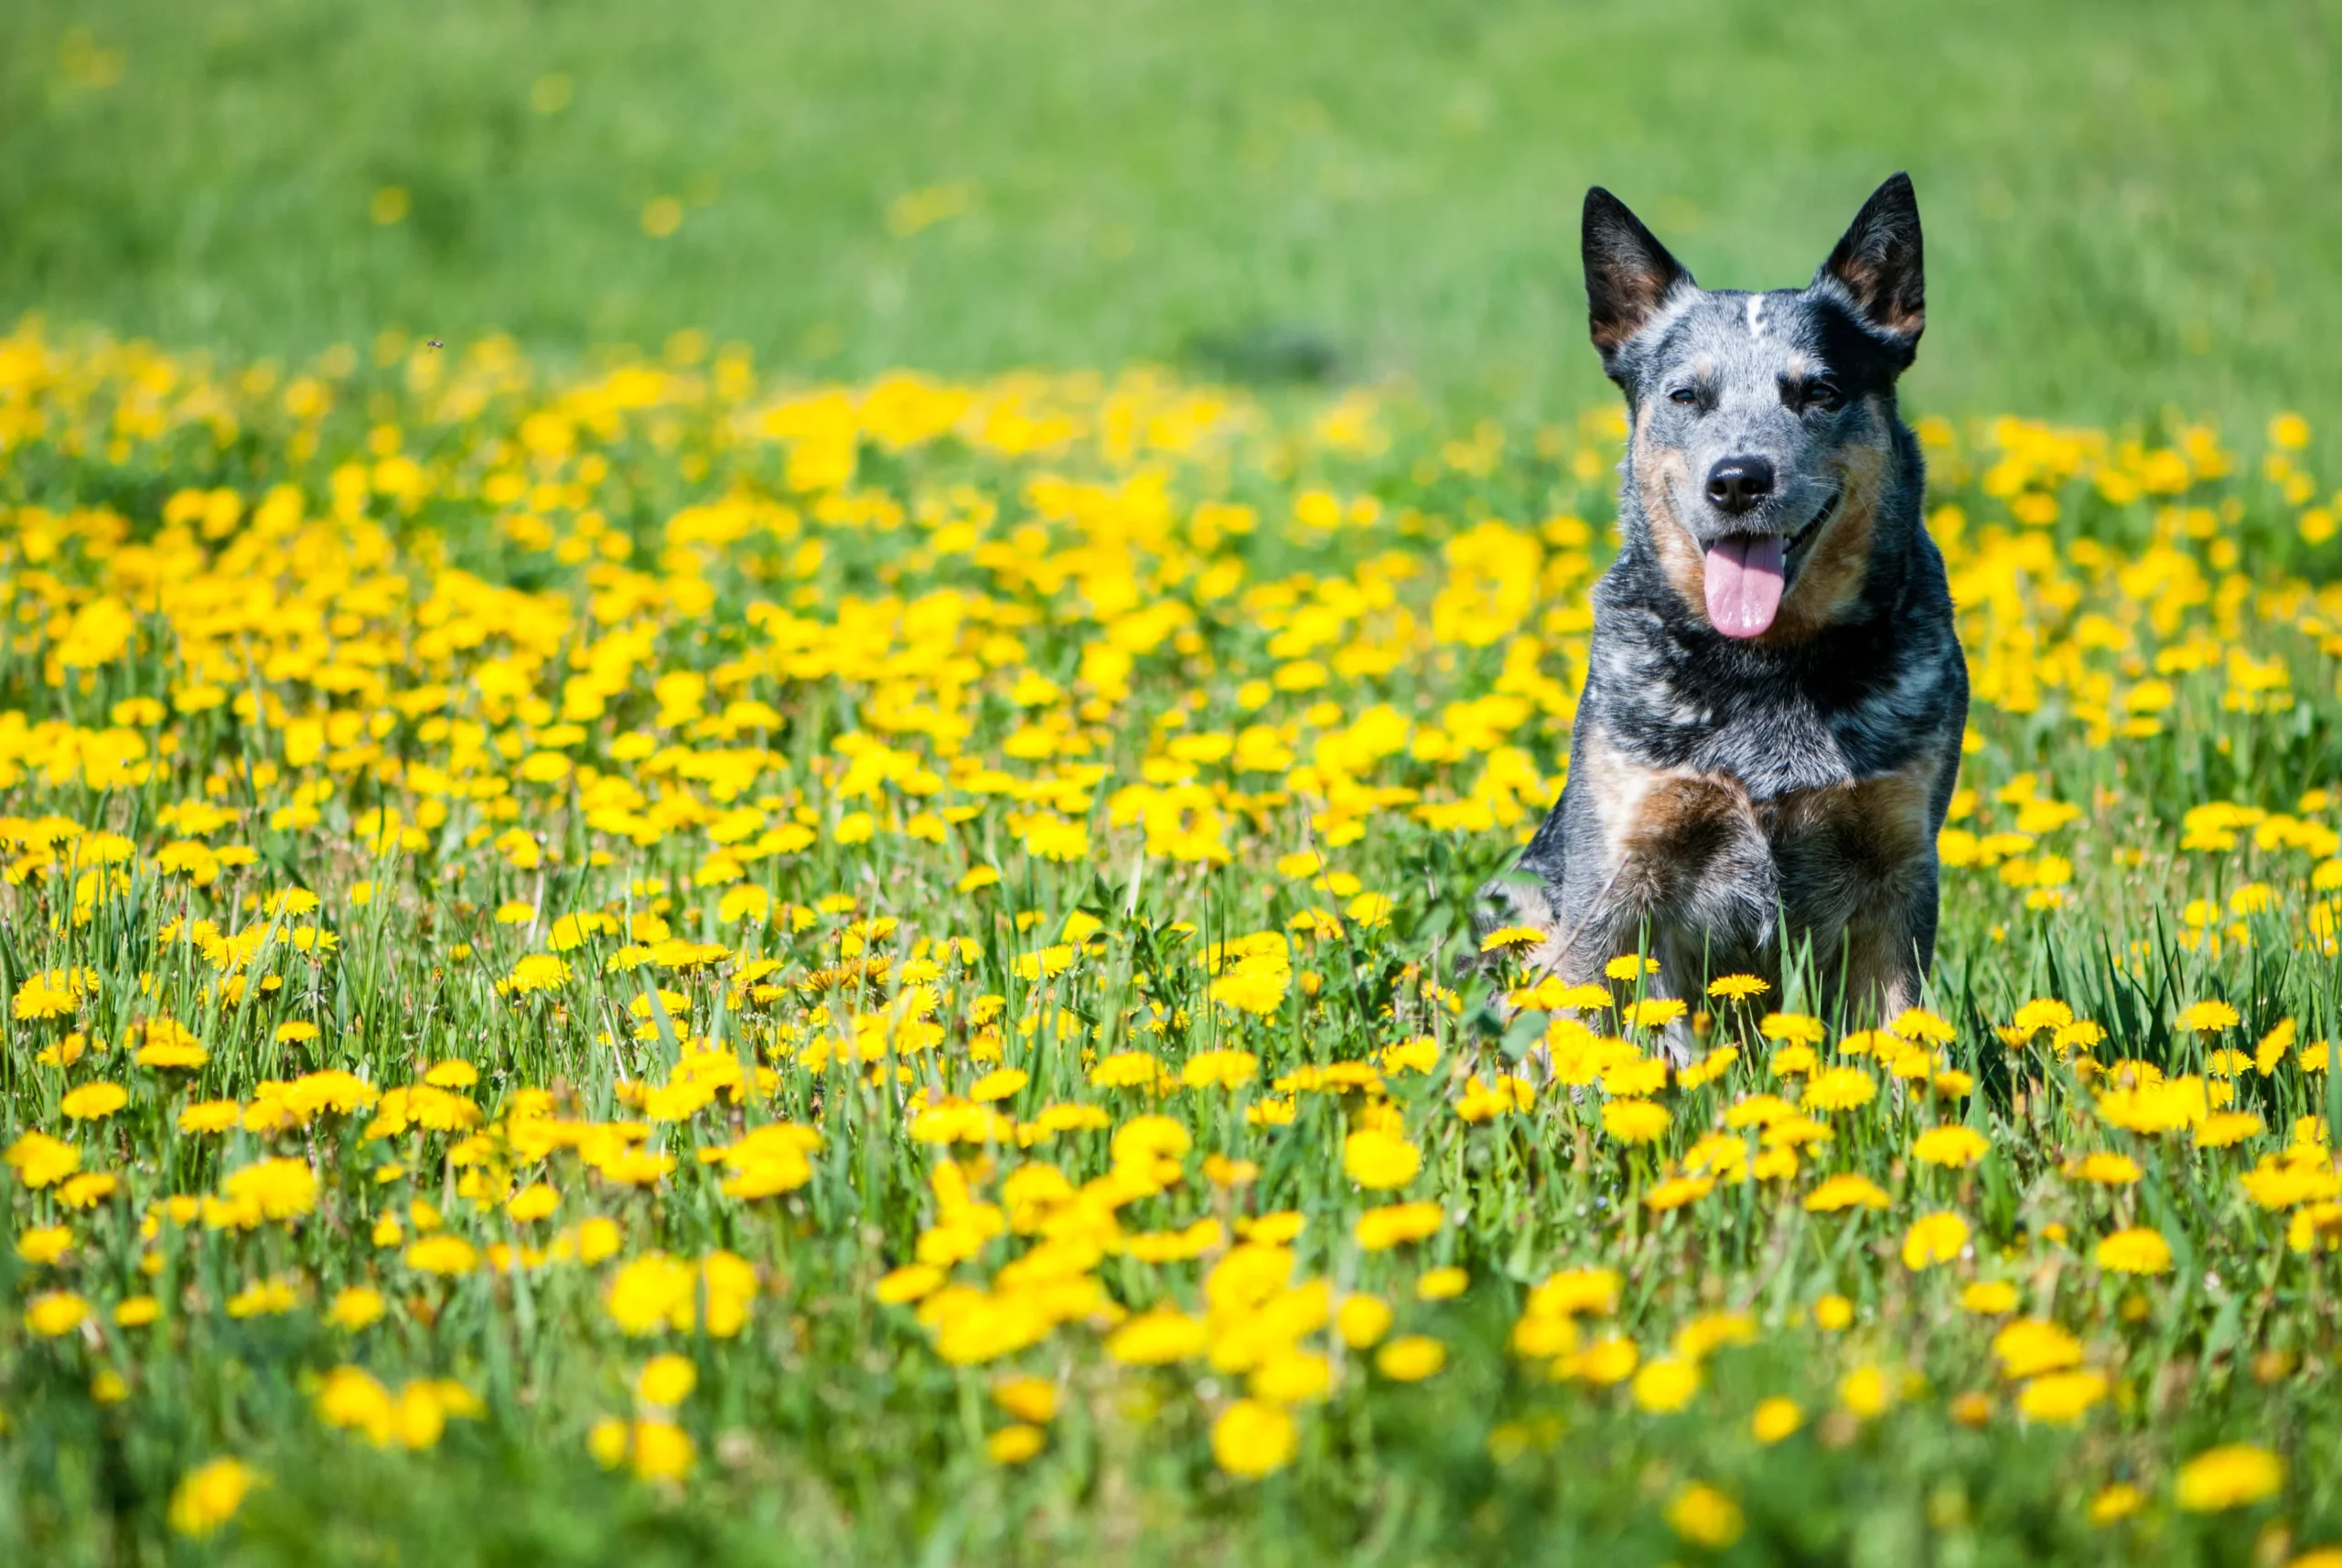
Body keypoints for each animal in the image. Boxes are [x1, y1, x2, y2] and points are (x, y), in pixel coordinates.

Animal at [1489, 175, 1967, 1043]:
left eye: (1819, 391)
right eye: (1687, 394)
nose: (1740, 479)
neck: (1765, 668)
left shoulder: (1898, 866)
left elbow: (1900, 1038)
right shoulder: (1619, 867)